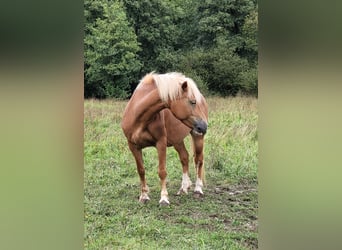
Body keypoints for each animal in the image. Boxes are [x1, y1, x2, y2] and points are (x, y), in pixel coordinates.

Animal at [122, 72, 208, 205]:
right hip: (177, 140)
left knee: (198, 160)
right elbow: (141, 170)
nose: (204, 126)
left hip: (197, 137)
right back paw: (183, 188)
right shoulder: (133, 146)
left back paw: (198, 189)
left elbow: (162, 171)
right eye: (192, 102)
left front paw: (164, 198)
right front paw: (144, 196)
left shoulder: (160, 143)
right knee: (185, 157)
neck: (139, 117)